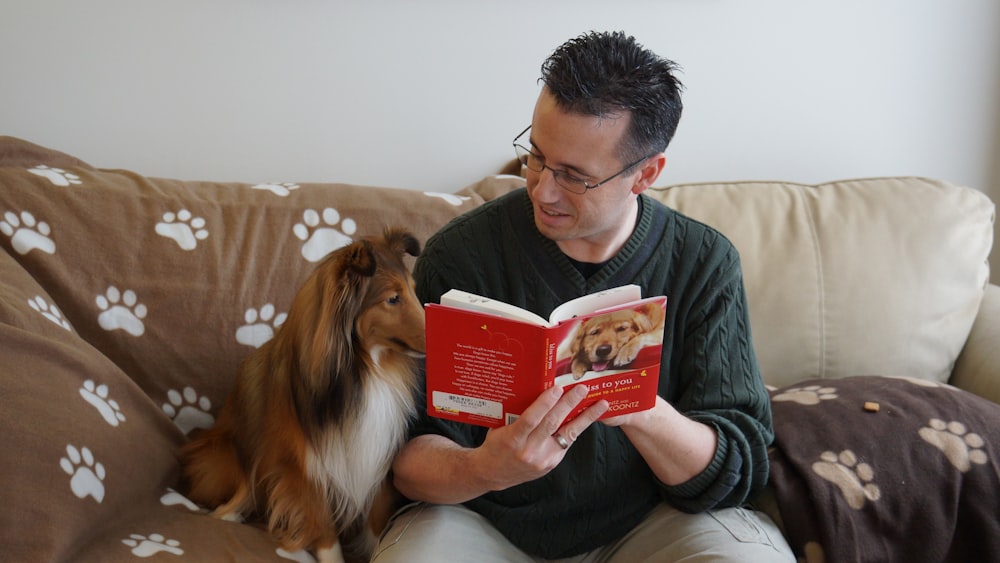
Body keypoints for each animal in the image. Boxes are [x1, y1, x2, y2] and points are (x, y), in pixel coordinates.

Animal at [182, 227, 424, 560]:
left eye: (413, 290)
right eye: (393, 298)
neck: (361, 373)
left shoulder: (376, 454)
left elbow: (378, 519)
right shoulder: (302, 465)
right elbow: (323, 525)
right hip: (226, 451)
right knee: (244, 486)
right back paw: (228, 513)